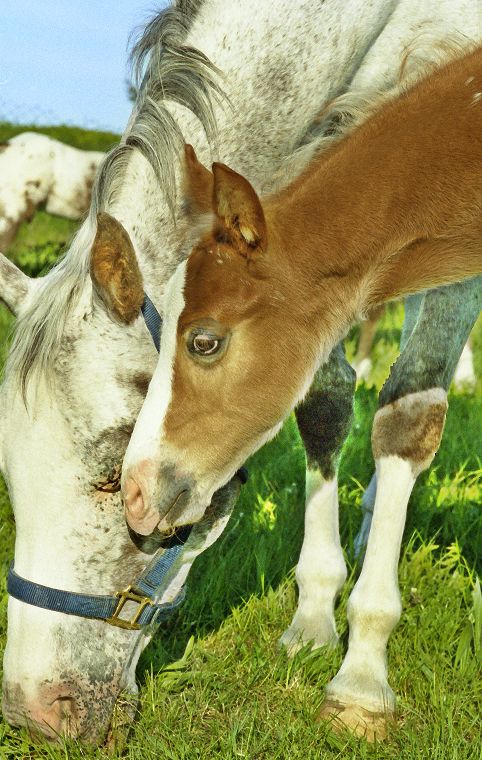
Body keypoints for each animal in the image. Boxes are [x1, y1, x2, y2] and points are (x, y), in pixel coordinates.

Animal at [0, 0, 481, 745]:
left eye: (110, 470)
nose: (35, 714)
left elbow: (407, 413)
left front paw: (361, 677)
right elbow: (321, 402)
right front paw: (314, 614)